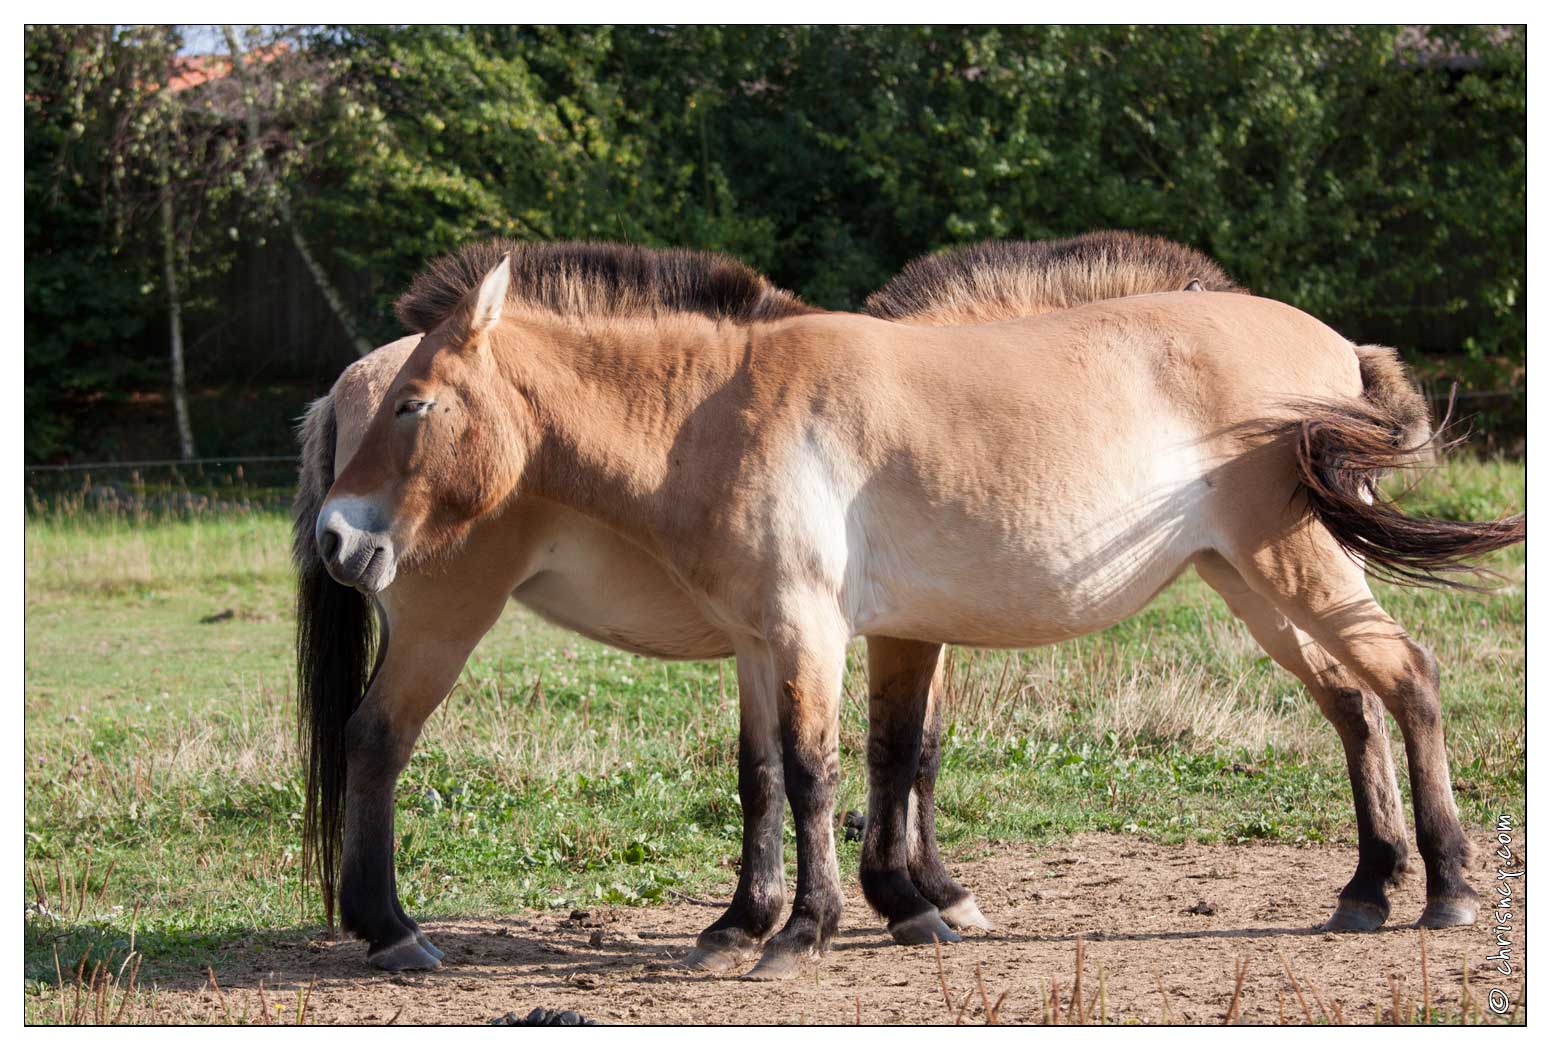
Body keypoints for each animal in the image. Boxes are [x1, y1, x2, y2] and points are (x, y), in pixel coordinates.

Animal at [296, 238, 1519, 979]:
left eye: (416, 406)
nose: (340, 537)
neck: (717, 411)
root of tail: (1338, 352)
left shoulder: (813, 630)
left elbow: (826, 770)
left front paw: (807, 930)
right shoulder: (769, 639)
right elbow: (780, 774)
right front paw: (765, 922)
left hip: (1288, 563)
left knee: (1401, 679)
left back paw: (1445, 888)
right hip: (1249, 574)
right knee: (1357, 698)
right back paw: (1373, 886)